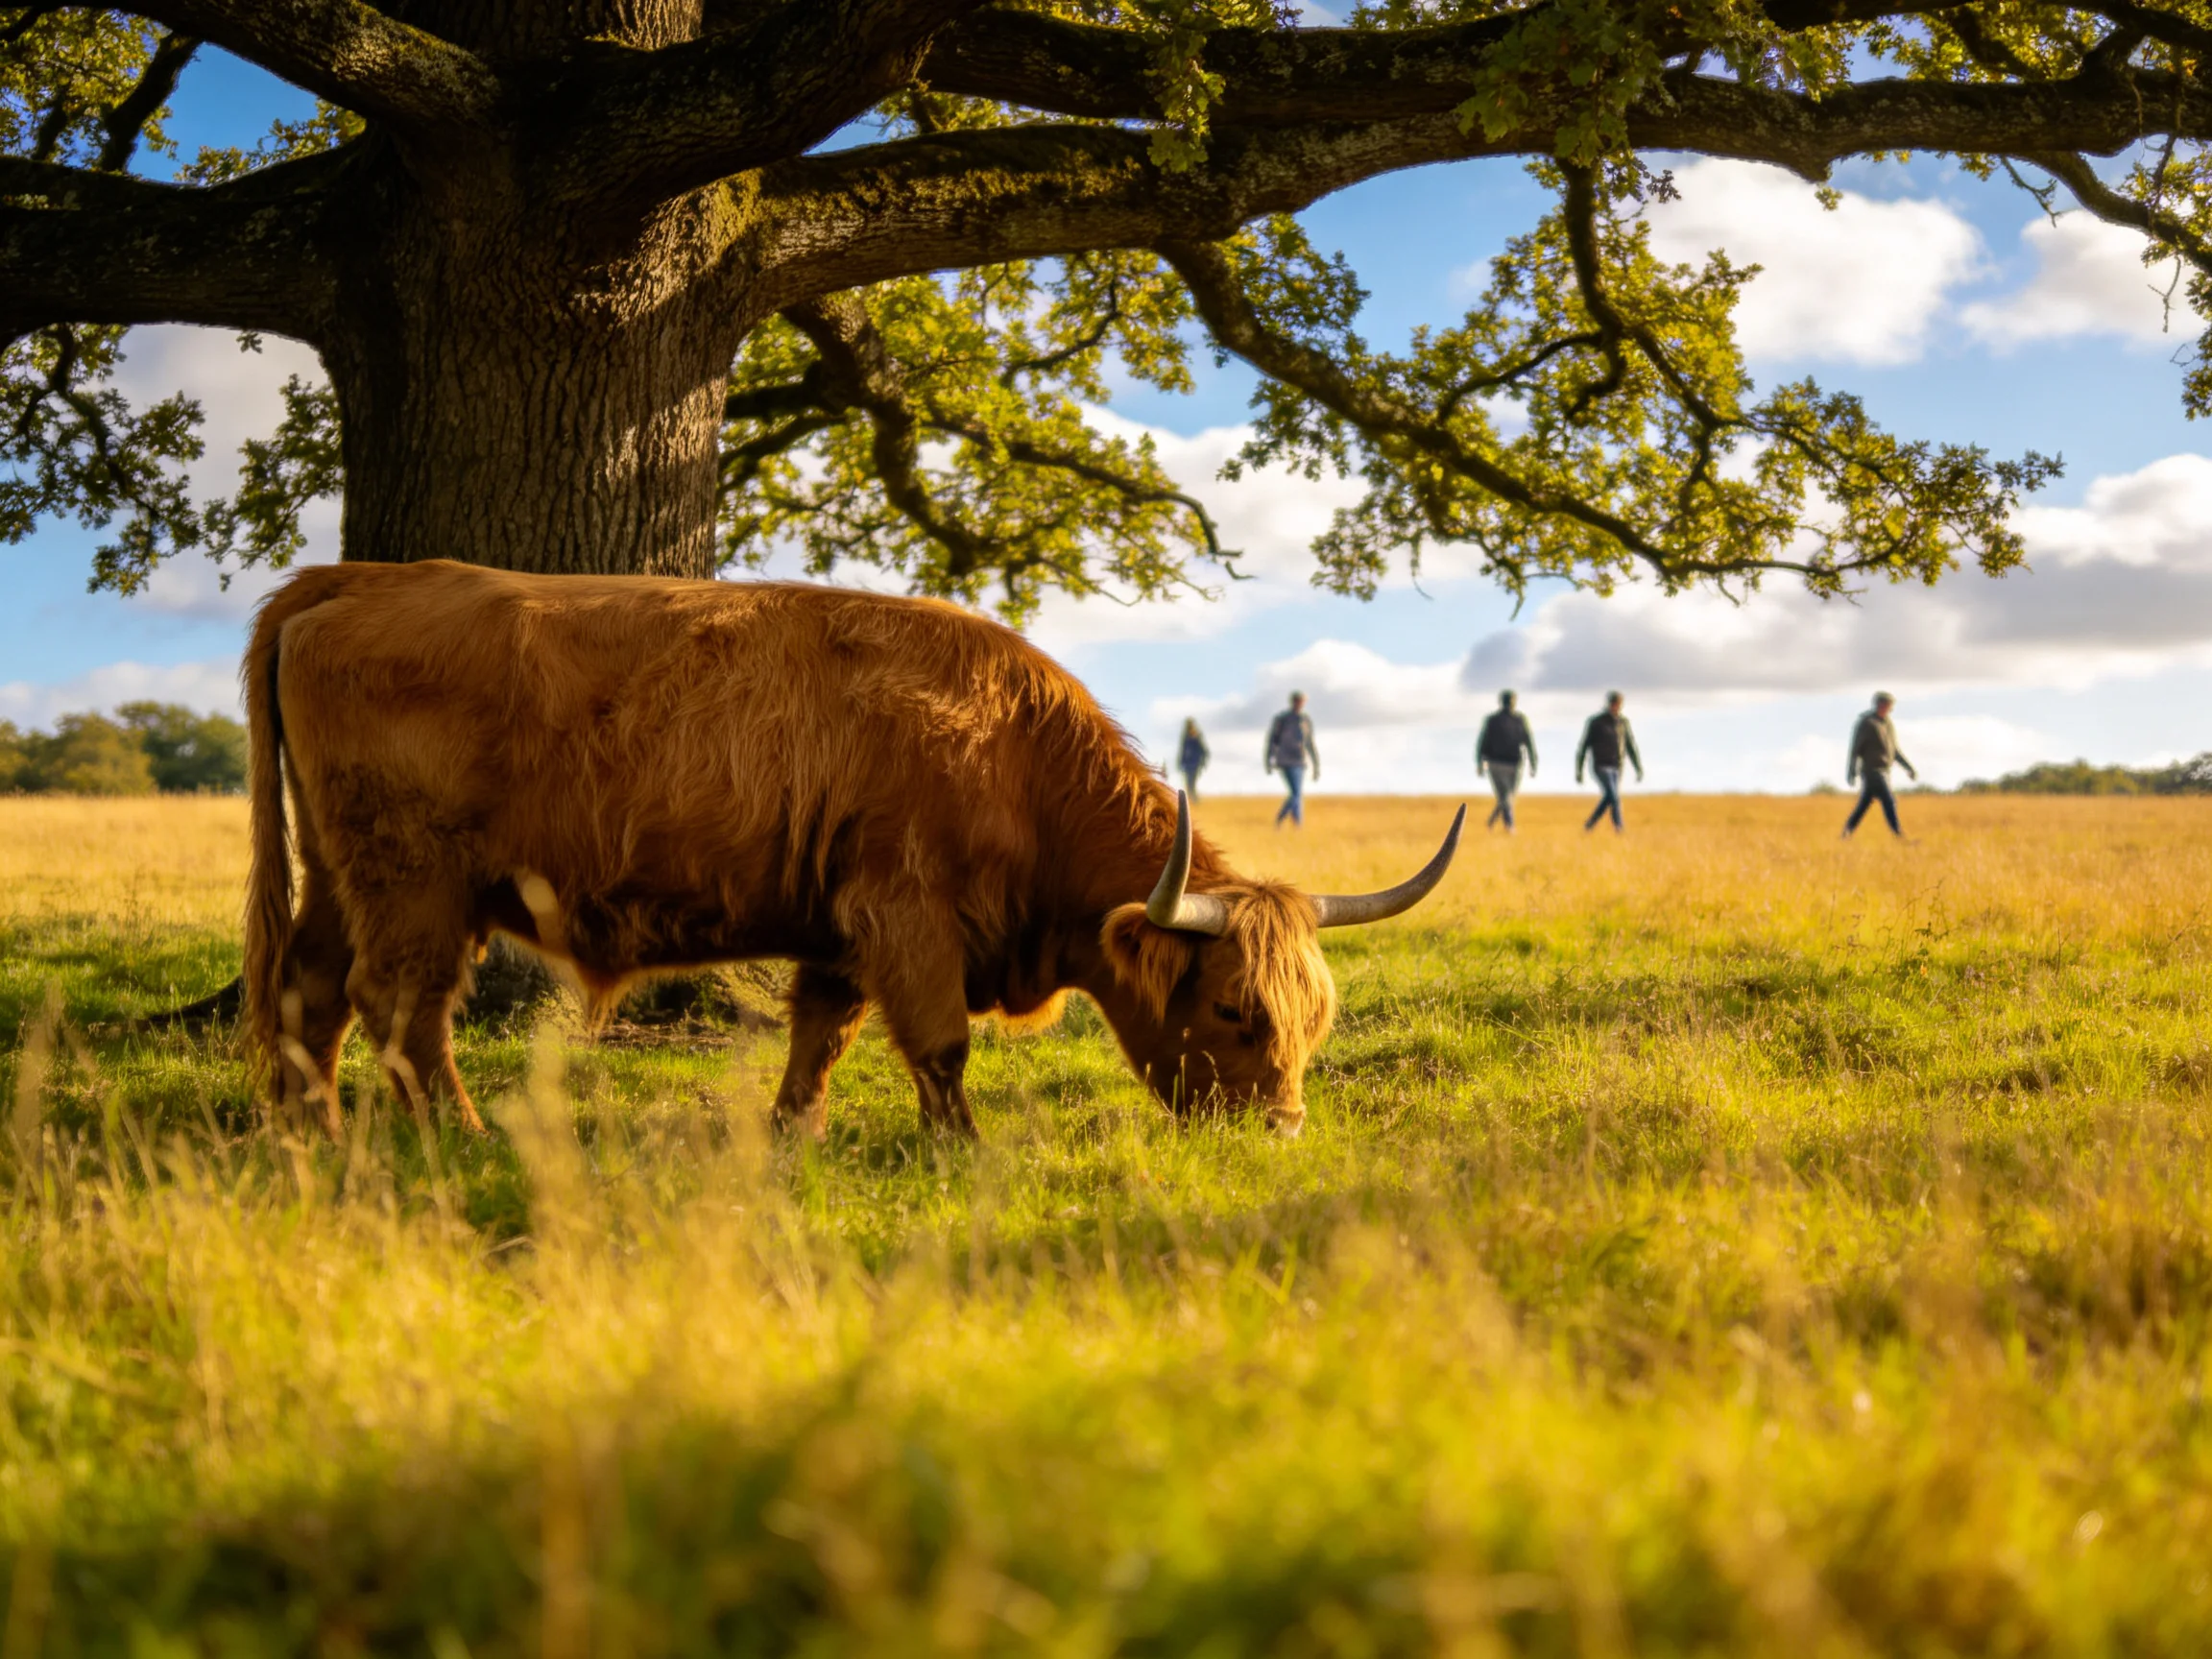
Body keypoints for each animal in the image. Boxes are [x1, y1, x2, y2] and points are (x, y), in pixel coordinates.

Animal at [241, 560, 1463, 1139]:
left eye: (1316, 1018)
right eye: (1232, 1010)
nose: (1284, 1130)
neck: (1012, 754)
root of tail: (354, 575)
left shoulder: (835, 929)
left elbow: (819, 1038)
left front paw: (794, 1135)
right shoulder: (905, 915)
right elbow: (937, 1044)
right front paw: (961, 1146)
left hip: (340, 876)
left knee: (311, 991)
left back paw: (314, 1129)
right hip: (410, 880)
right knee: (403, 1008)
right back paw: (454, 1135)